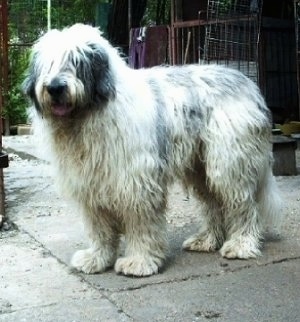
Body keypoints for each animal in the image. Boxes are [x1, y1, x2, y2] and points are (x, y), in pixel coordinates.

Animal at [23, 23, 282, 276]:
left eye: (76, 61)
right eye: (47, 64)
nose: (55, 87)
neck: (90, 114)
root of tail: (246, 80)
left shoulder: (136, 182)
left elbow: (141, 224)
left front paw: (139, 261)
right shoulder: (91, 184)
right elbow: (100, 228)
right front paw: (96, 258)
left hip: (229, 163)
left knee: (243, 204)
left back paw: (241, 244)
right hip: (200, 167)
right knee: (213, 203)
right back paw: (207, 240)